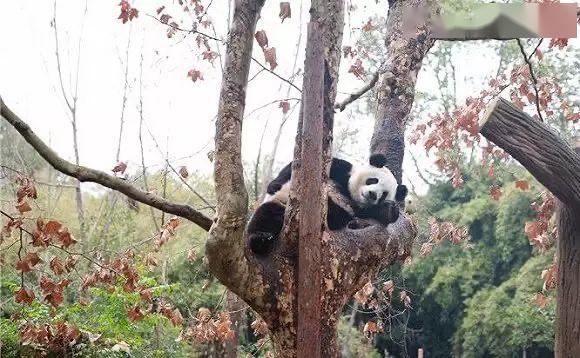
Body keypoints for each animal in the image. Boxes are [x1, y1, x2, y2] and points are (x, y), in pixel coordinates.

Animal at [246, 152, 408, 256]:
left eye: (384, 194)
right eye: (373, 180)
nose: (373, 195)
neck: (349, 192)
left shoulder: (361, 209)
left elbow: (373, 213)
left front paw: (389, 211)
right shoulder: (342, 169)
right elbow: (300, 166)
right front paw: (273, 185)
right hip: (280, 204)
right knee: (266, 214)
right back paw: (259, 240)